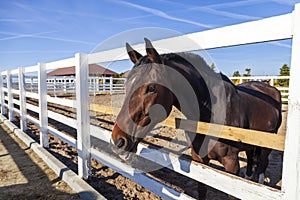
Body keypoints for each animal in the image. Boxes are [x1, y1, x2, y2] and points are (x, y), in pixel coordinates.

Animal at [110, 38, 282, 199]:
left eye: (151, 87)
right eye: (126, 86)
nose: (118, 140)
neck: (211, 115)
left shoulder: (231, 164)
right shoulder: (199, 159)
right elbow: (202, 190)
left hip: (266, 147)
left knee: (262, 166)